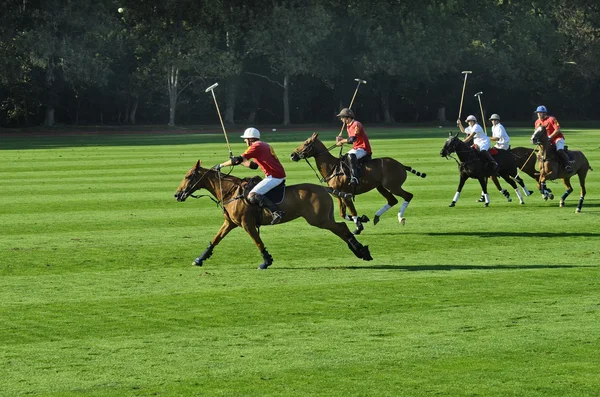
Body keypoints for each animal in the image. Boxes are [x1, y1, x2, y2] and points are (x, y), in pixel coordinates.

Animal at [173, 159, 372, 268]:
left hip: (319, 219)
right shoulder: (230, 223)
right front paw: (200, 259)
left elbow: (257, 241)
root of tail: (324, 188)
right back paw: (360, 251)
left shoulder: (247, 224)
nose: (177, 195)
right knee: (341, 228)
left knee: (342, 227)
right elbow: (215, 239)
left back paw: (362, 251)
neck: (231, 192)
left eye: (188, 176)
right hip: (323, 217)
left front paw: (266, 261)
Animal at [290, 133, 426, 230]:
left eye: (306, 143)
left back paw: (400, 218)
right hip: (380, 186)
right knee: (392, 200)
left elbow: (352, 211)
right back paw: (376, 217)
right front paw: (363, 219)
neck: (332, 167)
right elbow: (343, 214)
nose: (292, 155)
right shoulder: (338, 196)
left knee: (408, 195)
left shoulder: (346, 195)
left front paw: (359, 226)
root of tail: (402, 165)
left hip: (393, 186)